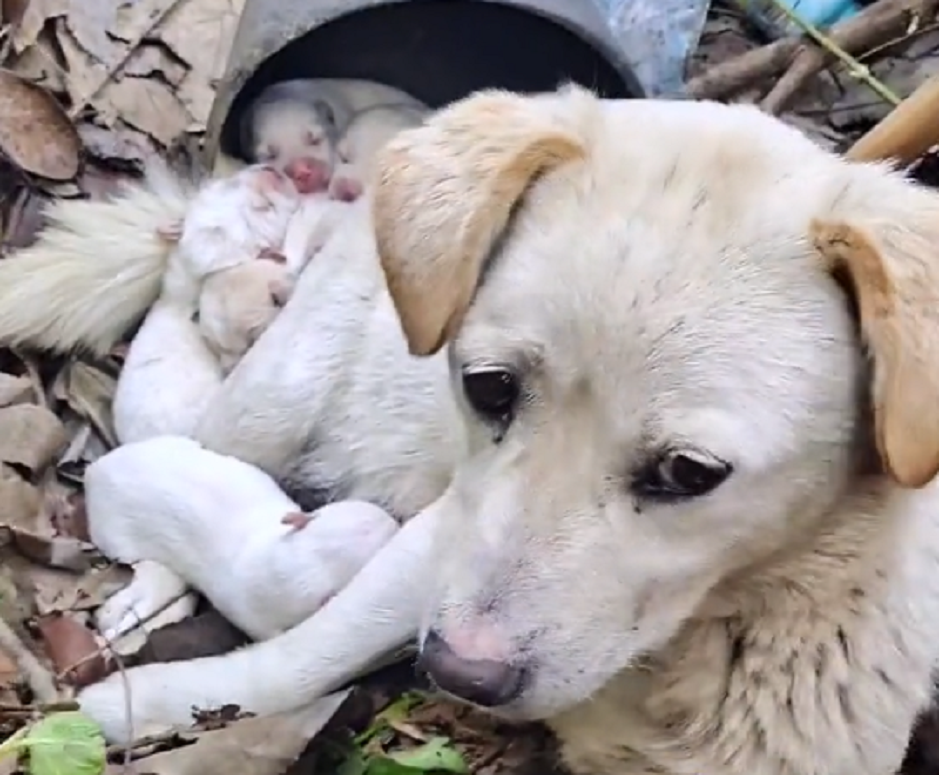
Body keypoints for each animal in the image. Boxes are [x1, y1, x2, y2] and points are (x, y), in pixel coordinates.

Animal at [1, 85, 939, 775]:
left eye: (688, 472)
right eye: (487, 388)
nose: (456, 673)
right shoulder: (436, 544)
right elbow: (299, 657)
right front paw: (144, 705)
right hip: (267, 405)